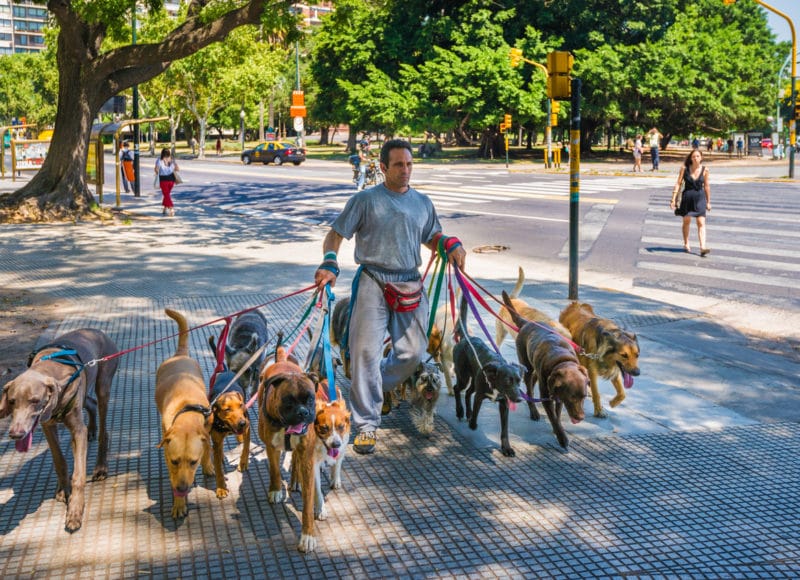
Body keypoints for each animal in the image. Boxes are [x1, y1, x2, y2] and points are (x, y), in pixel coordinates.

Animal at [0, 328, 119, 532]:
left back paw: (101, 467)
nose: (16, 434)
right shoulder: (47, 425)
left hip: (103, 383)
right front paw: (63, 490)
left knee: (103, 426)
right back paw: (92, 430)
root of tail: (98, 331)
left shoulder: (77, 430)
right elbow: (59, 461)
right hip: (84, 395)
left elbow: (78, 475)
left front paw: (75, 512)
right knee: (91, 403)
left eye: (35, 400)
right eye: (12, 401)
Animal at [155, 310, 212, 520]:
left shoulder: (207, 433)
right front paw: (179, 503)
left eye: (193, 462)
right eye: (175, 461)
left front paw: (208, 466)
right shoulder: (167, 452)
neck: (187, 412)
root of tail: (179, 354)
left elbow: (207, 450)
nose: (182, 488)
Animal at [258, 344, 318, 552]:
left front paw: (308, 535)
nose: (303, 412)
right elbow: (275, 470)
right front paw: (276, 490)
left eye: (310, 400)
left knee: (296, 460)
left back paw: (295, 480)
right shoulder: (271, 446)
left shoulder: (308, 455)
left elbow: (308, 503)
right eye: (288, 401)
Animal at [456, 296, 524, 456]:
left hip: (474, 380)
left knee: (467, 393)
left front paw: (507, 448)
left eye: (519, 381)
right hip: (464, 376)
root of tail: (466, 338)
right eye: (507, 381)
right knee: (457, 388)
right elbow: (476, 412)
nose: (519, 399)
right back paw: (461, 411)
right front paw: (472, 424)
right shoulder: (480, 395)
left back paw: (467, 412)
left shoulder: (504, 404)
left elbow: (505, 430)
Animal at [504, 292, 592, 450]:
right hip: (527, 365)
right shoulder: (546, 396)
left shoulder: (559, 397)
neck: (562, 360)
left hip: (535, 369)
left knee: (533, 382)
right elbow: (553, 417)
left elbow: (557, 414)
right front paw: (562, 437)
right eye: (572, 397)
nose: (581, 418)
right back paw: (533, 411)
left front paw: (558, 429)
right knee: (529, 388)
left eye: (584, 396)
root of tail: (527, 323)